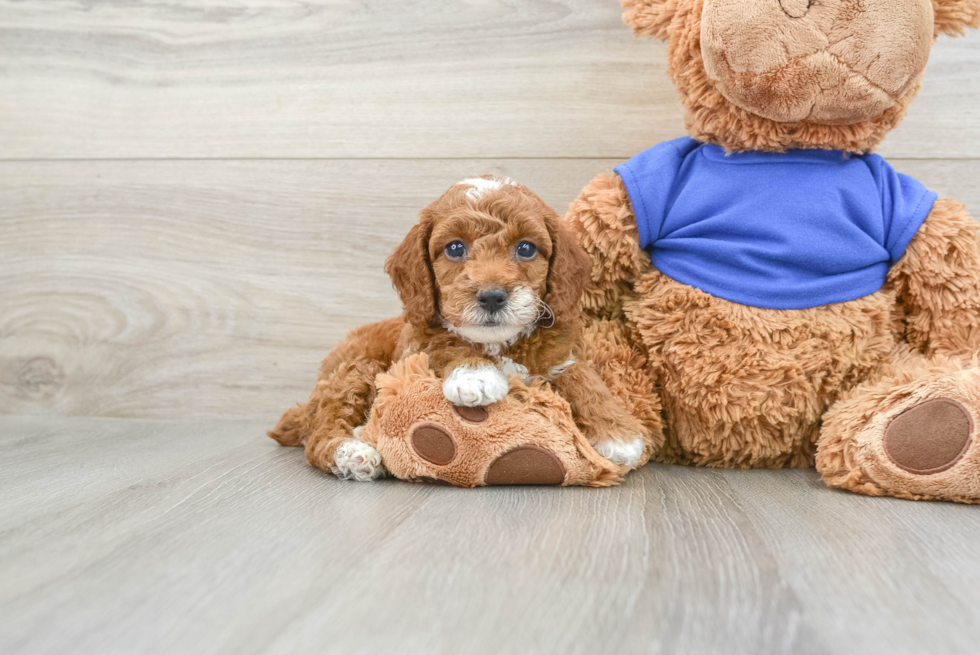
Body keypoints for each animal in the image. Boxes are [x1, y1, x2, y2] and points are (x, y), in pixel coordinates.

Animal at [272, 177, 648, 480]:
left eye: (526, 248)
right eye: (455, 248)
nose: (492, 296)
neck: (500, 344)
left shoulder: (560, 352)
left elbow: (582, 376)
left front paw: (619, 435)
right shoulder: (417, 341)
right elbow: (448, 342)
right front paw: (474, 375)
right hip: (355, 369)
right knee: (321, 430)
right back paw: (352, 453)